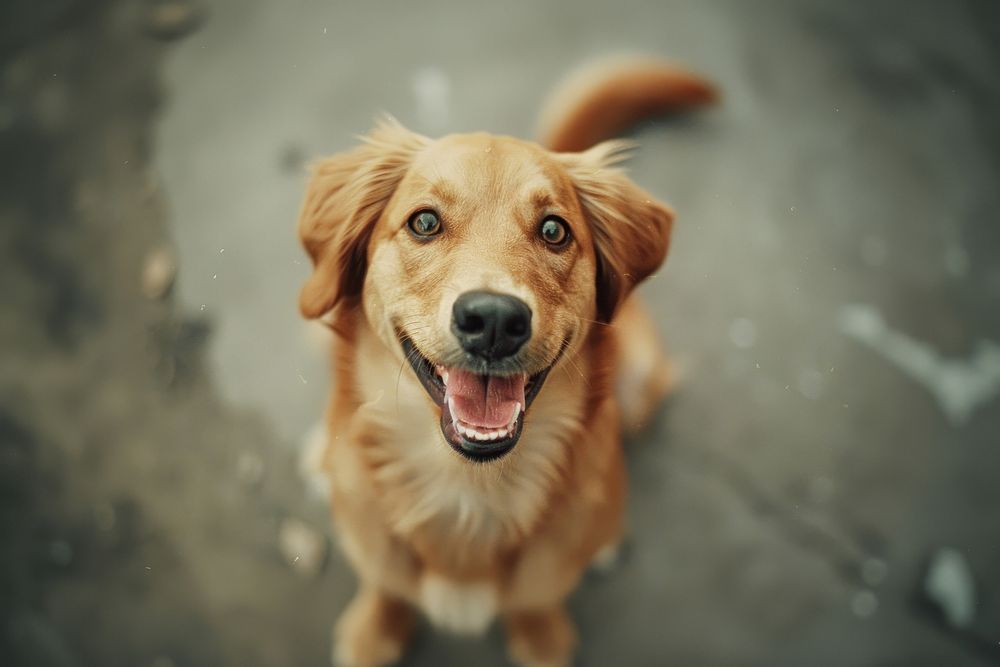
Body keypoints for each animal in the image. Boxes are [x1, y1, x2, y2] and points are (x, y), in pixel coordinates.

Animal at [294, 58, 712, 667]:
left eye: (555, 230)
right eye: (424, 222)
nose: (492, 319)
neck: (470, 492)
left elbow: (536, 601)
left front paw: (540, 638)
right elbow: (385, 583)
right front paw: (375, 630)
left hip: (639, 382)